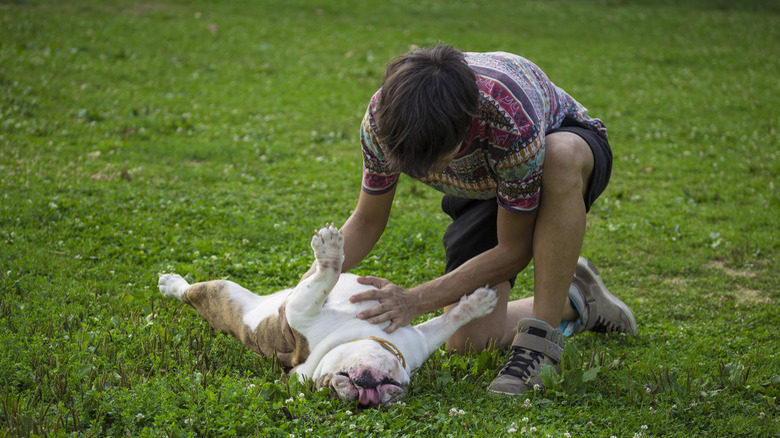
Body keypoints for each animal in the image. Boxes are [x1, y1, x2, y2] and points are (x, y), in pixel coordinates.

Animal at [158, 226, 496, 408]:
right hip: (225, 294)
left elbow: (449, 321)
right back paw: (171, 283)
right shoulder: (301, 310)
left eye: (394, 391)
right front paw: (331, 251)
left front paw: (478, 303)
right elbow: (325, 278)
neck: (360, 335)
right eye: (328, 387)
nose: (366, 399)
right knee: (189, 292)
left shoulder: (421, 340)